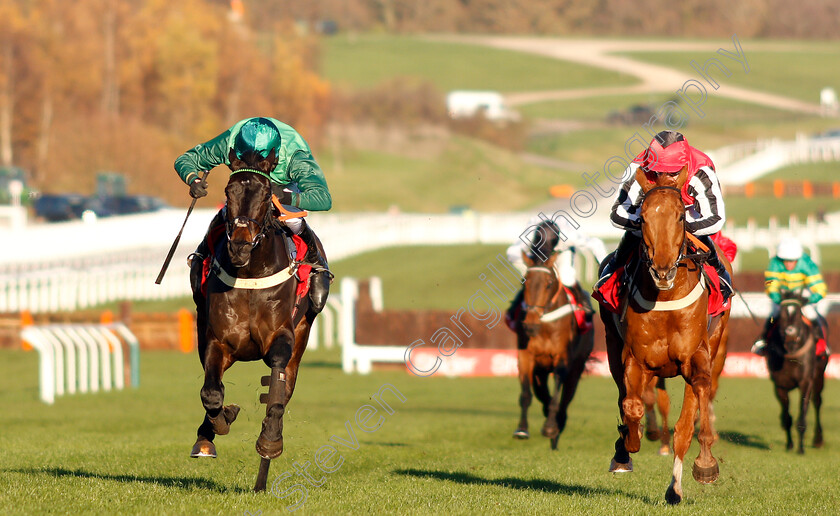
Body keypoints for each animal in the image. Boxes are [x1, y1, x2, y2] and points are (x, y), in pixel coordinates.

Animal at [189, 161, 324, 492]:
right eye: (228, 191)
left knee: (285, 388)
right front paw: (218, 424)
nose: (239, 244)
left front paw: (270, 441)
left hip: (303, 335)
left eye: (265, 195)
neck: (250, 273)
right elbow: (211, 393)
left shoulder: (282, 335)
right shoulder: (217, 341)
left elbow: (276, 385)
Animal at [508, 220, 592, 450]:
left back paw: (557, 426)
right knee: (541, 392)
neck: (544, 326)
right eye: (524, 281)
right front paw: (521, 429)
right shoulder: (526, 356)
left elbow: (556, 397)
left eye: (548, 284)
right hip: (540, 370)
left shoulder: (562, 359)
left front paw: (550, 428)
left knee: (565, 399)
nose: (530, 325)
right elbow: (526, 394)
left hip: (576, 367)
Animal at [600, 181, 732, 504]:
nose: (662, 270)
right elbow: (631, 405)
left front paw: (696, 472)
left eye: (681, 217)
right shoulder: (635, 359)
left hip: (719, 345)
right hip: (612, 345)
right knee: (626, 397)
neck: (666, 298)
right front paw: (628, 445)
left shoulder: (696, 357)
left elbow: (685, 424)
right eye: (642, 218)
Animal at [764, 288, 832, 454]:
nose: (790, 336)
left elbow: (803, 414)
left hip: (819, 374)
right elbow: (787, 417)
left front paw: (801, 449)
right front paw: (789, 445)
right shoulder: (780, 385)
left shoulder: (805, 382)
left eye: (798, 314)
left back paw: (818, 440)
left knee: (817, 401)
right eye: (782, 314)